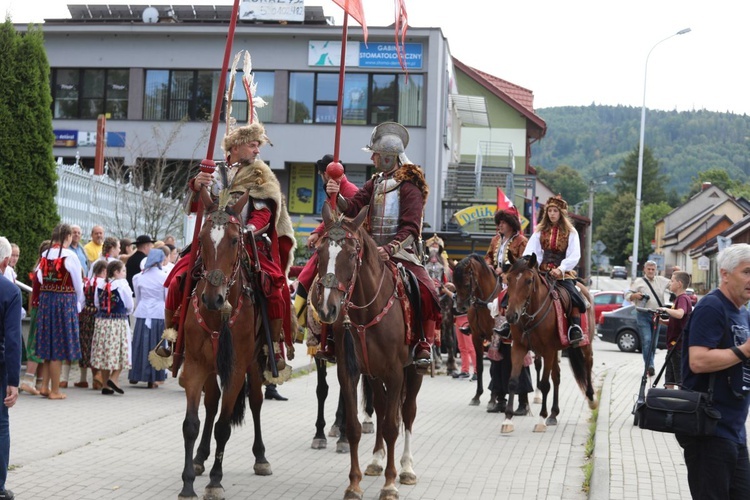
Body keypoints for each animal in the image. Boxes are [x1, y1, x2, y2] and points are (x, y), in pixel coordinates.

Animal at [178, 188, 272, 500]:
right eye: (203, 238)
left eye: (234, 239)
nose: (212, 298)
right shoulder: (196, 366)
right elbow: (192, 424)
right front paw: (187, 484)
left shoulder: (235, 369)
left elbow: (223, 427)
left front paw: (215, 482)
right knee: (211, 403)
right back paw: (199, 458)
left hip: (254, 363)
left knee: (255, 402)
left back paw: (261, 457)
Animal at [312, 202, 424, 500]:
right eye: (319, 252)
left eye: (352, 255)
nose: (327, 309)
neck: (366, 311)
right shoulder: (349, 371)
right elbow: (354, 426)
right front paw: (354, 484)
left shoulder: (396, 373)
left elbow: (393, 427)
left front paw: (390, 484)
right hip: (374, 375)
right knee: (383, 409)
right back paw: (375, 460)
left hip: (413, 371)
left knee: (407, 412)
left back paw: (407, 467)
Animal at [500, 254, 600, 434]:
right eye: (509, 279)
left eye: (529, 280)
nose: (511, 315)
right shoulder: (519, 347)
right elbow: (513, 382)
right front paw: (508, 419)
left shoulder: (547, 350)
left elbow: (545, 384)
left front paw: (541, 419)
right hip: (555, 351)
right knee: (557, 376)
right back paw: (553, 414)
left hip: (585, 344)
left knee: (588, 365)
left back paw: (591, 399)